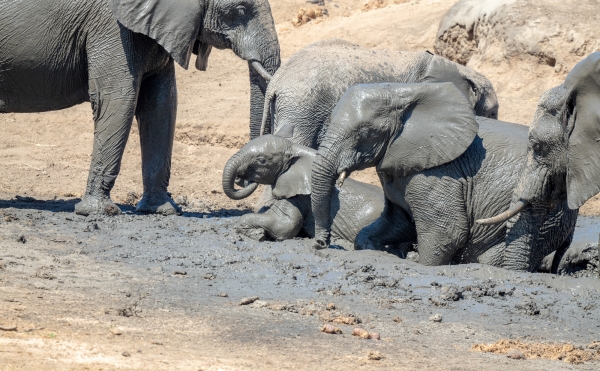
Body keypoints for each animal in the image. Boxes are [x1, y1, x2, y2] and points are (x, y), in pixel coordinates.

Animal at [0, 0, 282, 215]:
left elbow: (161, 104)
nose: (244, 177)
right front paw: (98, 212)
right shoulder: (111, 28)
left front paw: (162, 210)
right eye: (240, 10)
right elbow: (118, 98)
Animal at [221, 135, 418, 246]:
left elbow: (285, 226)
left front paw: (253, 232)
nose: (241, 177)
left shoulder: (301, 196)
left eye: (262, 160)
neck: (296, 148)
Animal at [310, 81, 536, 268]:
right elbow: (397, 222)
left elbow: (446, 233)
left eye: (366, 133)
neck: (404, 91)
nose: (321, 243)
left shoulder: (439, 173)